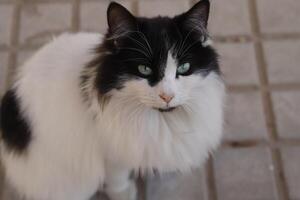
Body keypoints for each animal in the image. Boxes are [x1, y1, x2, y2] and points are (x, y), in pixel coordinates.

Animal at [0, 0, 224, 199]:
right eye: (144, 69)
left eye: (184, 68)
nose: (167, 96)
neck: (161, 120)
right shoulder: (111, 151)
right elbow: (117, 177)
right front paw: (123, 194)